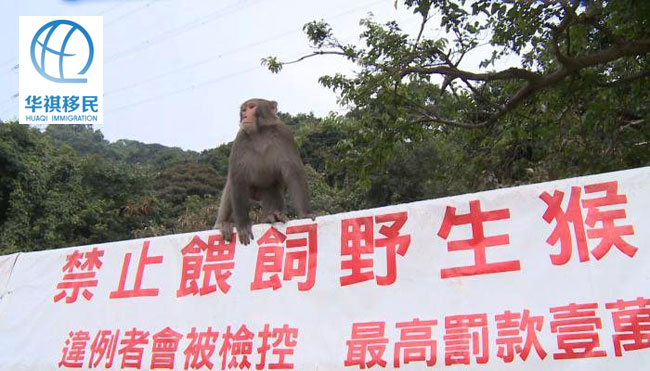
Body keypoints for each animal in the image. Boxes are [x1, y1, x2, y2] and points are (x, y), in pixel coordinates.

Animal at [213, 97, 314, 246]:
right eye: (243, 109)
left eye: (252, 107)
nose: (244, 115)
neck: (259, 133)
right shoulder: (240, 139)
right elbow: (238, 178)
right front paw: (243, 224)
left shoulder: (284, 134)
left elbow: (294, 172)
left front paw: (306, 213)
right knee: (232, 186)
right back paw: (224, 223)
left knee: (273, 188)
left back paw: (272, 216)